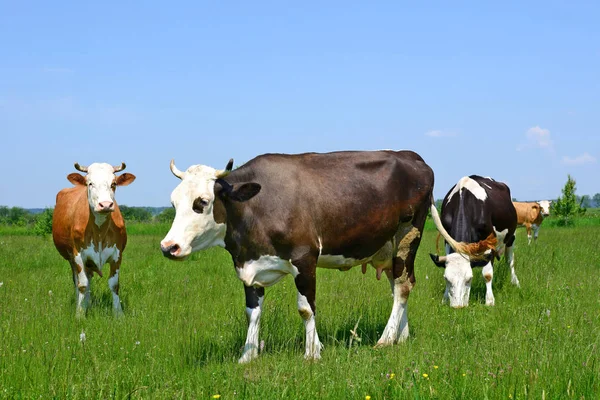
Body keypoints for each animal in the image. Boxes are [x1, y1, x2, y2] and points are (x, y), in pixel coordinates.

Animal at [51, 162, 136, 316]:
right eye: (90, 183)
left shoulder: (117, 255)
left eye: (113, 183)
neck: (100, 232)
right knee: (78, 281)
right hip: (71, 259)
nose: (106, 204)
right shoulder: (78, 255)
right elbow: (82, 285)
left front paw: (118, 314)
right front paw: (79, 314)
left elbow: (114, 284)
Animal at [159, 150, 432, 362]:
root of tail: (410, 155)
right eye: (173, 203)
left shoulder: (305, 259)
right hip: (388, 246)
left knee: (403, 286)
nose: (168, 247)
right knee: (398, 285)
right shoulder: (250, 267)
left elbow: (306, 309)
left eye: (202, 202)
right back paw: (401, 336)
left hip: (408, 235)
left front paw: (312, 352)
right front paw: (247, 355)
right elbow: (252, 312)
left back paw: (386, 339)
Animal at [428, 173, 516, 308]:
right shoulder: (447, 241)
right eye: (446, 279)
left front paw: (489, 301)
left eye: (469, 278)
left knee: (510, 261)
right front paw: (445, 298)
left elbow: (487, 274)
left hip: (511, 237)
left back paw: (515, 282)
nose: (458, 307)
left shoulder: (489, 242)